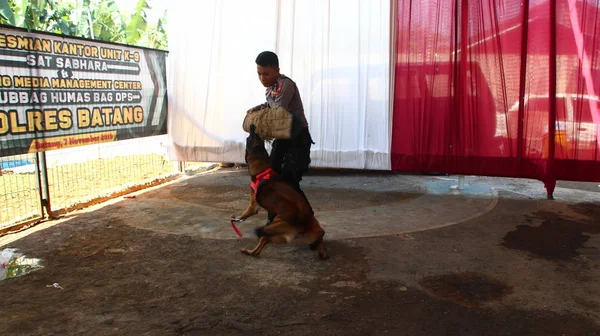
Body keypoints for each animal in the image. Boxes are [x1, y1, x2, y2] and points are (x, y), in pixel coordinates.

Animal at [232, 124, 328, 258]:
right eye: (258, 137)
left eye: (252, 136)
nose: (252, 125)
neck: (263, 169)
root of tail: (302, 224)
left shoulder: (252, 204)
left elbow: (246, 212)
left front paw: (238, 218)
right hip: (312, 228)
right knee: (320, 237)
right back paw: (320, 248)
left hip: (273, 228)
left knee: (260, 246)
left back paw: (249, 251)